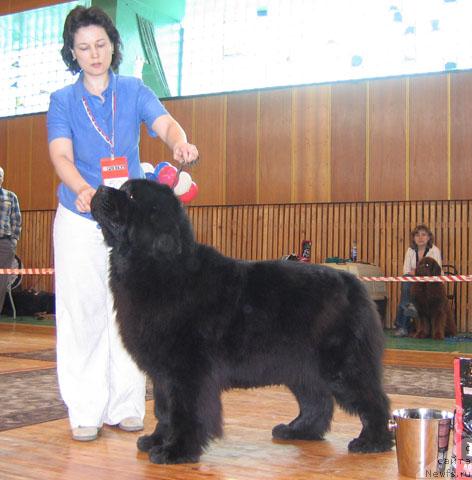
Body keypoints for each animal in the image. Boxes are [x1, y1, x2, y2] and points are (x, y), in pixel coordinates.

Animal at [90, 180, 392, 464]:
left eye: (130, 194)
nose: (99, 188)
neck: (159, 266)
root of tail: (353, 282)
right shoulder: (163, 374)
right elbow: (163, 410)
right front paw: (156, 441)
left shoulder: (187, 371)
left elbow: (186, 412)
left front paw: (176, 451)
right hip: (302, 366)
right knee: (317, 400)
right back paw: (298, 430)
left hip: (341, 365)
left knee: (372, 400)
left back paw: (373, 442)